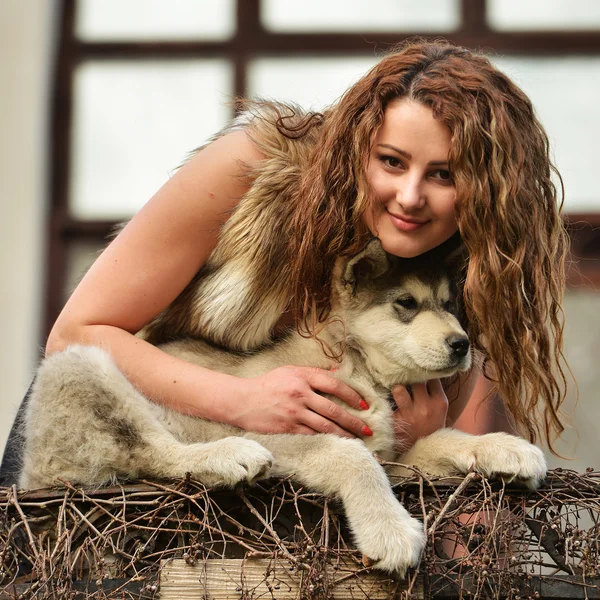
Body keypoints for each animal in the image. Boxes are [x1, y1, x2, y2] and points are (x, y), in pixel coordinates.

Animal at [18, 239, 548, 576]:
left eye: (448, 304)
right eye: (406, 304)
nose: (462, 345)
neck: (358, 365)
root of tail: (29, 476)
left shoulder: (393, 460)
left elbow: (441, 438)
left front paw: (506, 449)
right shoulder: (290, 429)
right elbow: (351, 458)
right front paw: (390, 531)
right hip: (82, 363)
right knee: (151, 453)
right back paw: (227, 456)